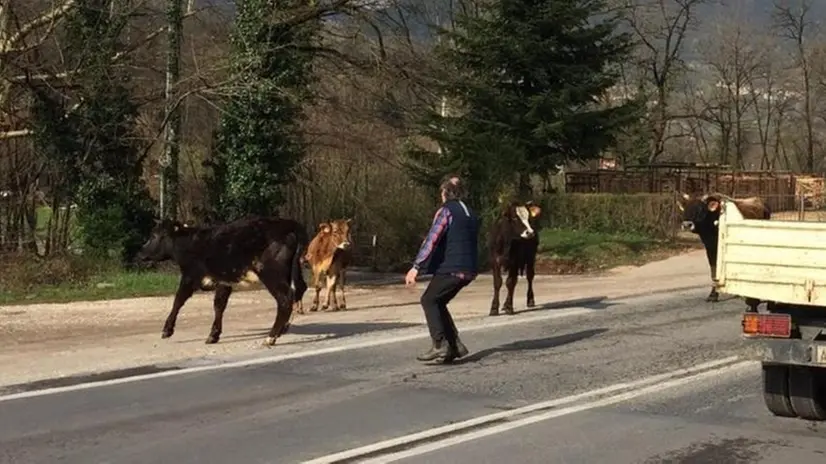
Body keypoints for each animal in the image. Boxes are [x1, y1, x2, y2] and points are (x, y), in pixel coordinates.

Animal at [137, 216, 308, 346]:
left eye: (154, 236)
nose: (141, 252)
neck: (189, 242)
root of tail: (288, 224)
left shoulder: (190, 276)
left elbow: (178, 300)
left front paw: (167, 330)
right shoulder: (223, 282)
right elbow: (219, 305)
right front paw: (213, 335)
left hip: (271, 274)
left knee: (285, 298)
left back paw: (270, 337)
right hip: (292, 272)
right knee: (299, 290)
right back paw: (282, 329)